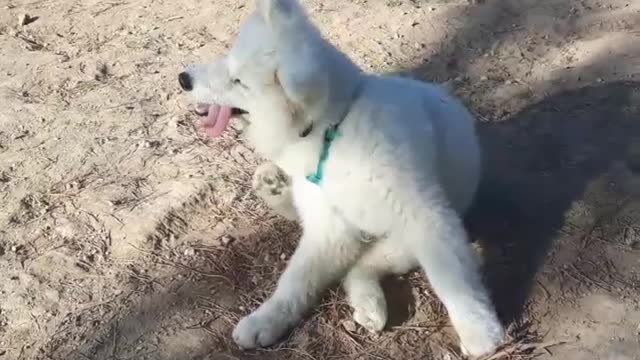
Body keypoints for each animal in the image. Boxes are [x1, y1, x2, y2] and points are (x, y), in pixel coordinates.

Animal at [179, 0, 504, 356]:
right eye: (227, 59)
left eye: (238, 81)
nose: (183, 79)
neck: (333, 131)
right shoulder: (328, 229)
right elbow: (295, 280)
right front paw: (265, 320)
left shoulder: (426, 217)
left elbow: (454, 281)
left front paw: (479, 331)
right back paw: (272, 188)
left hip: (402, 240)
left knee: (362, 267)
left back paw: (370, 305)